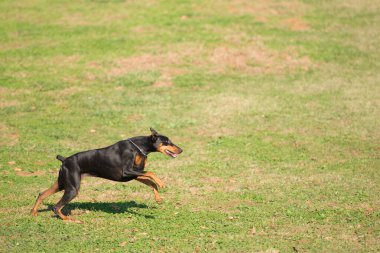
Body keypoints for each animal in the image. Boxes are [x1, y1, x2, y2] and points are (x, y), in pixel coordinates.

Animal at [31, 127, 183, 222]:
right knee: (56, 207)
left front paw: (158, 198)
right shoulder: (127, 172)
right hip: (72, 188)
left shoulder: (134, 174)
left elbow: (151, 182)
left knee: (42, 194)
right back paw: (70, 220)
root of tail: (64, 160)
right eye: (167, 142)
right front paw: (162, 183)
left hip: (63, 183)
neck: (138, 148)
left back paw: (33, 212)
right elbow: (151, 173)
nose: (181, 150)